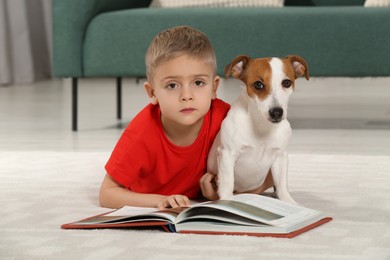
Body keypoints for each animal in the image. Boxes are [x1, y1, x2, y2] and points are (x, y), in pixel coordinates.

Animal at [206, 54, 310, 203]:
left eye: (286, 83)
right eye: (258, 84)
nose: (276, 112)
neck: (261, 126)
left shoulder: (280, 157)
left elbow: (282, 185)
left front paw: (289, 202)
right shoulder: (227, 154)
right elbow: (227, 182)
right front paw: (227, 200)